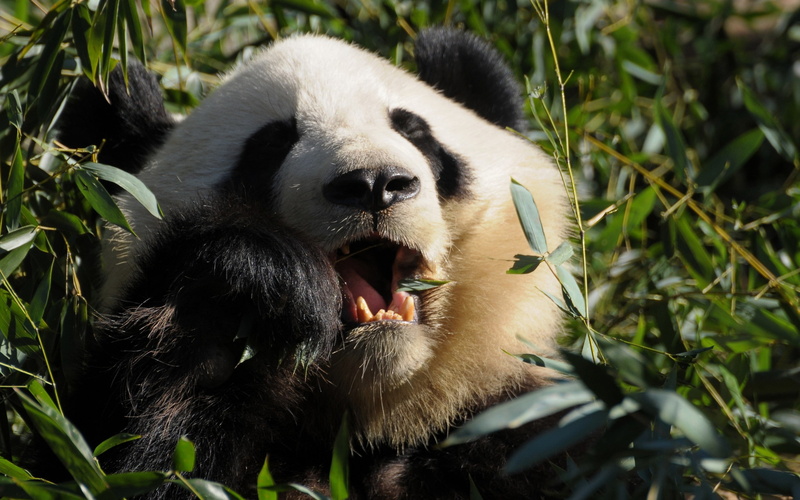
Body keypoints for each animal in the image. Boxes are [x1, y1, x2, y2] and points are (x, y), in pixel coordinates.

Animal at [55, 28, 569, 499]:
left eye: (415, 132)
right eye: (271, 145)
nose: (373, 182)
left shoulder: (522, 419)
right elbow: (144, 455)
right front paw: (263, 286)